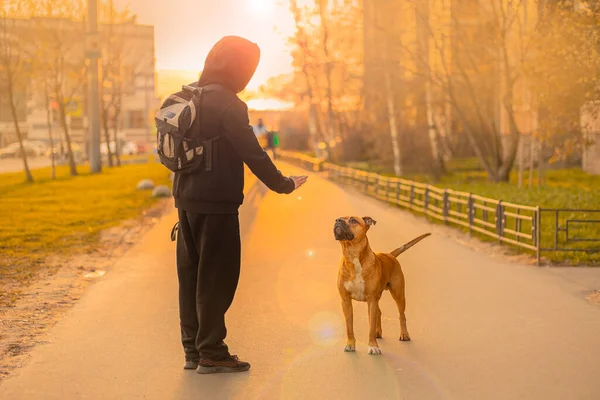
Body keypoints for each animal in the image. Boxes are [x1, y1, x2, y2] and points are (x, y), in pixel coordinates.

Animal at [332, 217, 432, 354]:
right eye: (339, 217)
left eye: (353, 220)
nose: (338, 220)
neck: (353, 255)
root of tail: (390, 255)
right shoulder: (346, 301)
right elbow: (349, 326)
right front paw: (350, 345)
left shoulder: (371, 299)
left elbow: (371, 326)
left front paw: (373, 346)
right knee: (379, 313)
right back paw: (378, 332)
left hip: (398, 294)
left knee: (402, 315)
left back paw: (404, 334)